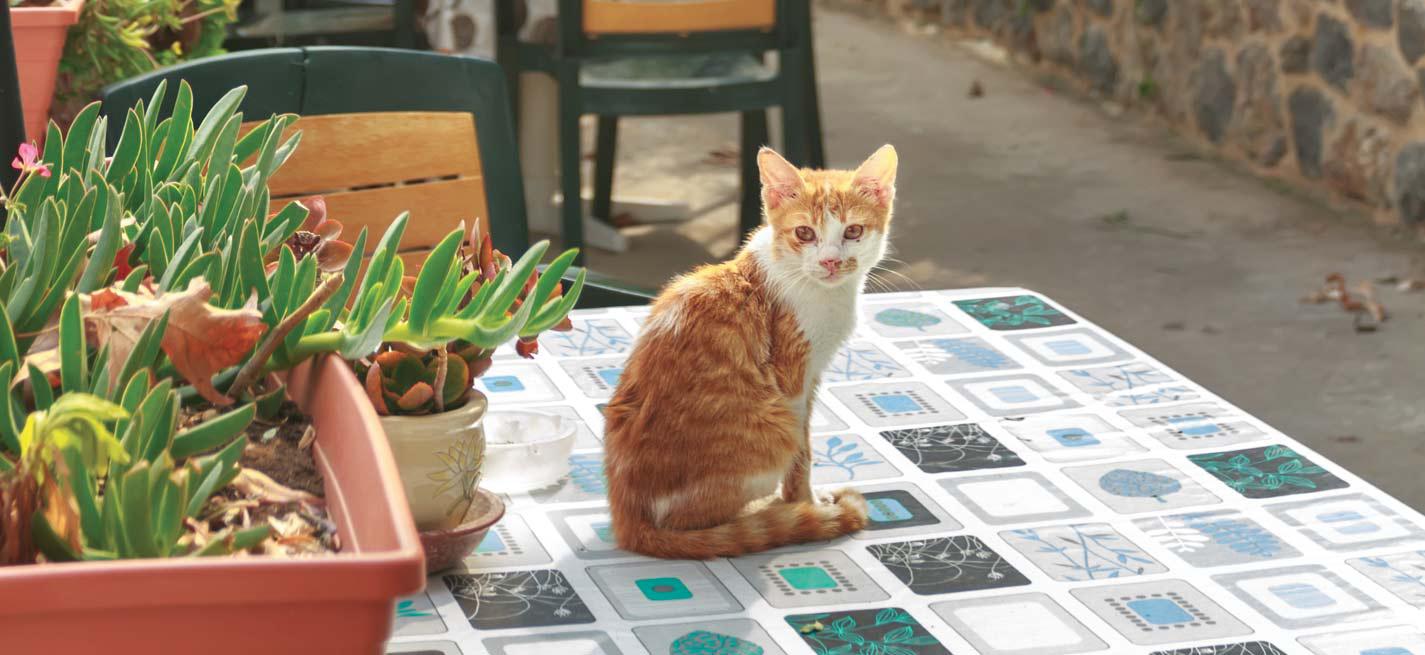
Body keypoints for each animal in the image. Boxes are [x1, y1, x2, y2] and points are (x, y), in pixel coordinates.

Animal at [604, 143, 894, 558]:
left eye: (853, 231)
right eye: (804, 233)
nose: (830, 261)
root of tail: (628, 521)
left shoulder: (812, 376)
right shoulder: (793, 380)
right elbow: (803, 451)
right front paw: (804, 504)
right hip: (770, 429)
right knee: (690, 520)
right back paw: (763, 515)